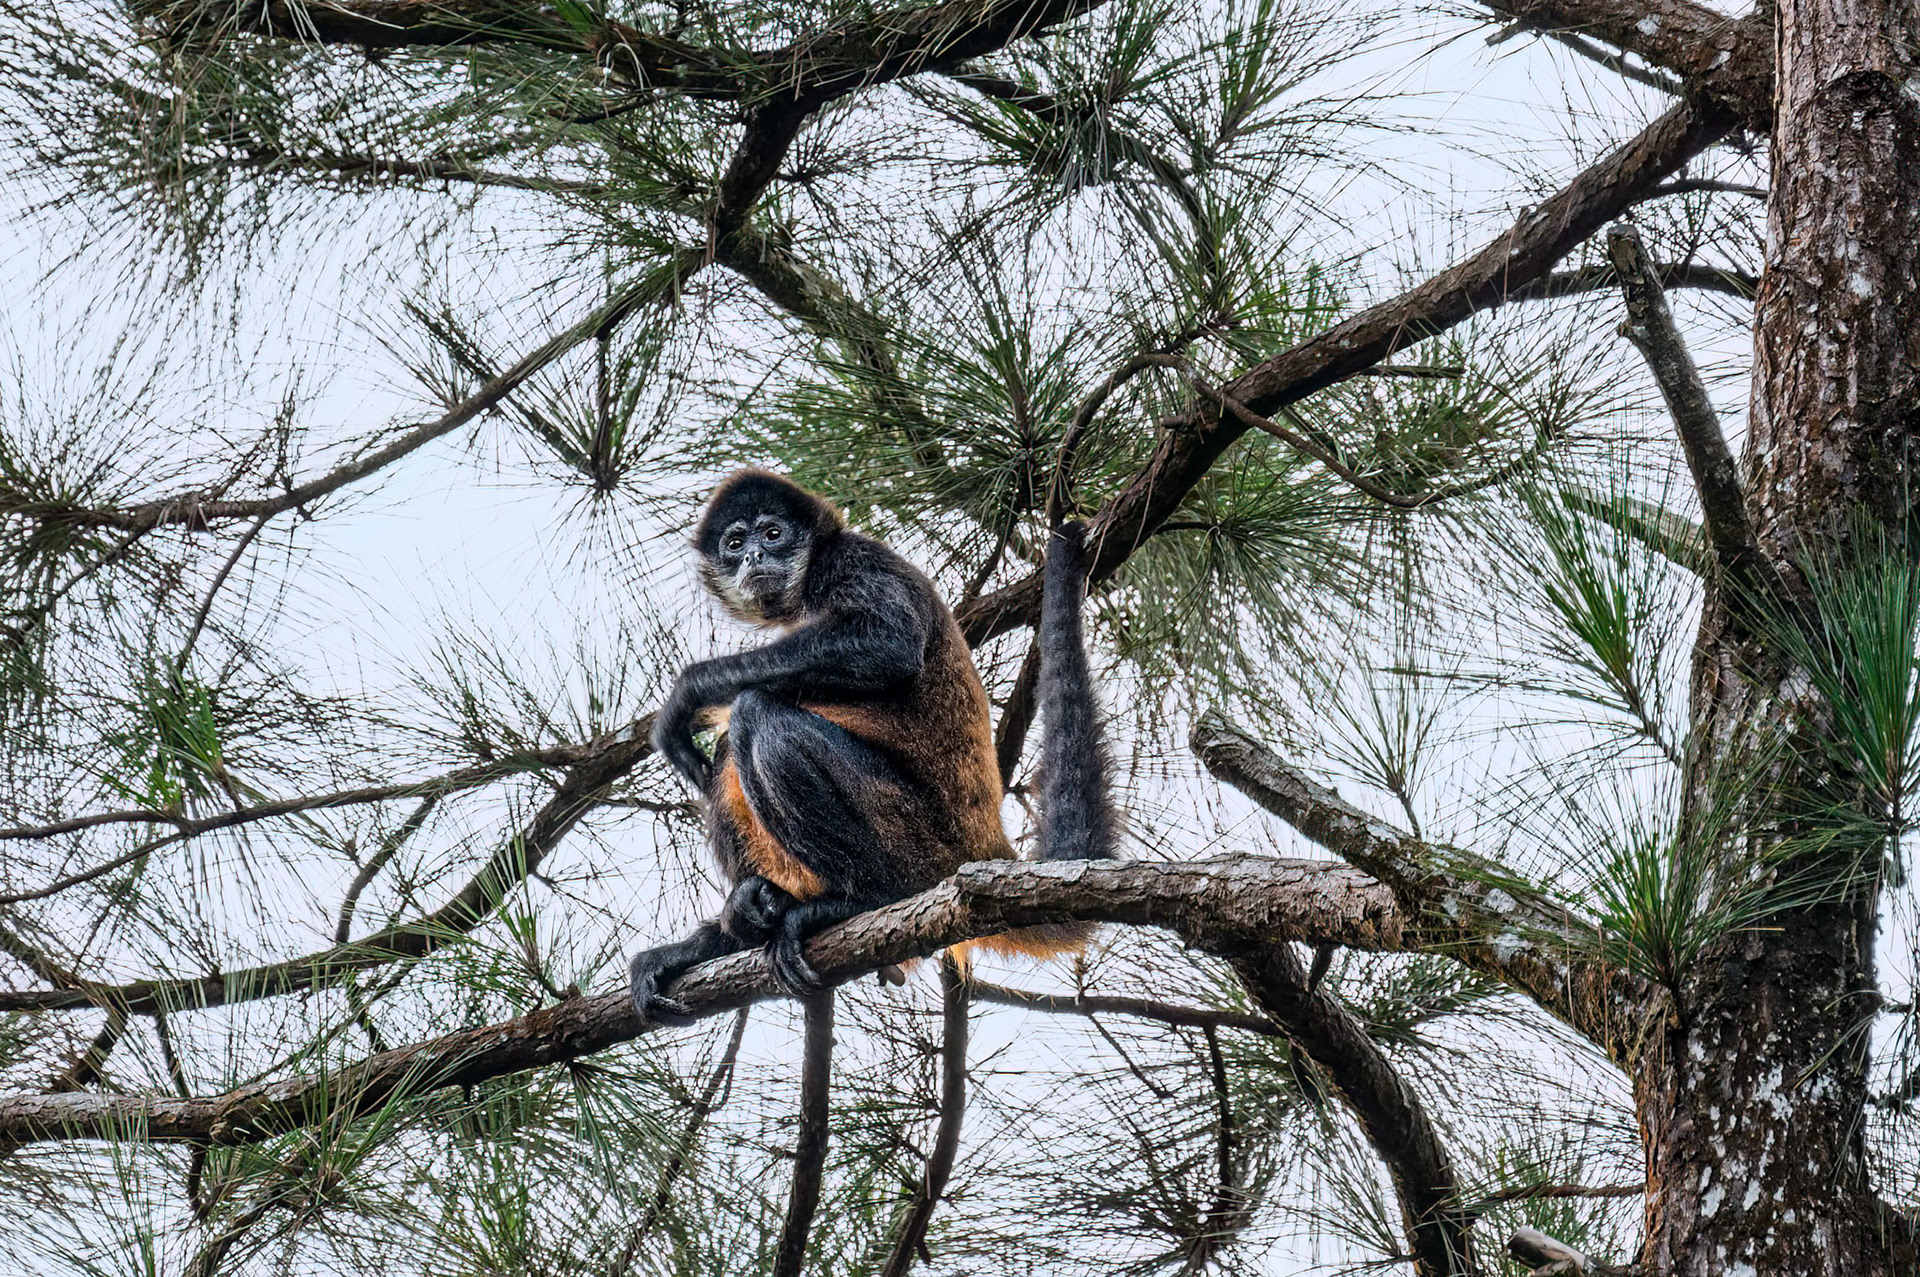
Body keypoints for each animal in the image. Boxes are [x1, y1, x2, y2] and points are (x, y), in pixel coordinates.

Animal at [629, 468, 1117, 1022]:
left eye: (772, 534)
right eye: (735, 544)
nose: (754, 556)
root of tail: (982, 842)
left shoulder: (855, 558)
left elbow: (888, 644)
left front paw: (689, 691)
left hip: (920, 843)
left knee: (758, 716)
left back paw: (862, 902)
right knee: (726, 754)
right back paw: (738, 928)